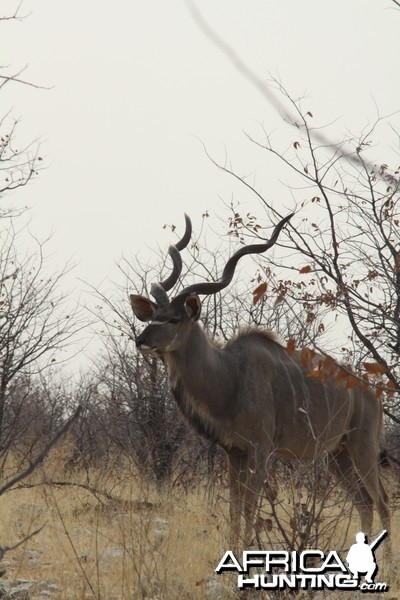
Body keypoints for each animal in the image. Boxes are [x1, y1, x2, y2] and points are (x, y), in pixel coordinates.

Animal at [130, 213, 390, 548]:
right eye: (153, 316)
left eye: (174, 319)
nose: (141, 340)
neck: (229, 376)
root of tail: (372, 393)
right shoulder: (234, 452)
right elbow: (234, 509)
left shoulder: (259, 450)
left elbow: (250, 507)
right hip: (337, 455)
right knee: (363, 501)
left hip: (362, 447)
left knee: (381, 501)